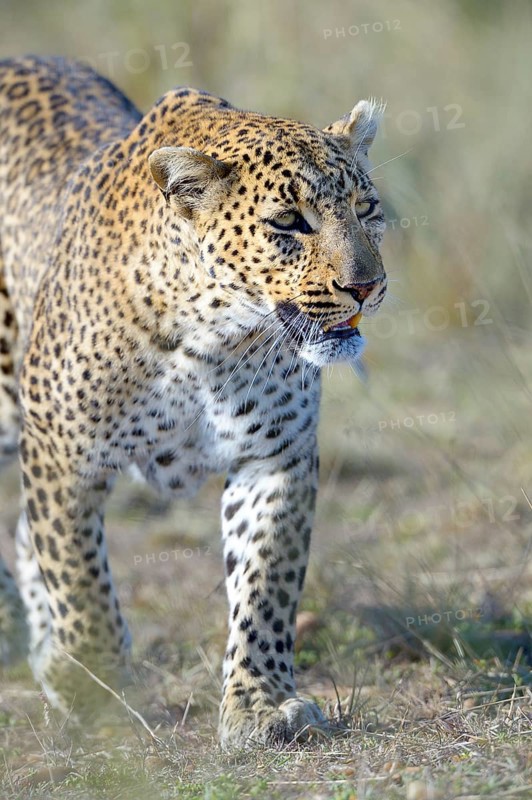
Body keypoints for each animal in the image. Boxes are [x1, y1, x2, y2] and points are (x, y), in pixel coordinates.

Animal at [0, 56, 387, 748]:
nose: (366, 286)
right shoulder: (60, 452)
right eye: (288, 223)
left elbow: (266, 583)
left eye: (367, 209)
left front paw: (261, 705)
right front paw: (97, 692)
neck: (213, 336)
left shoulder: (274, 457)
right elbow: (79, 579)